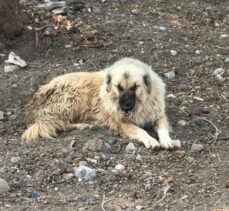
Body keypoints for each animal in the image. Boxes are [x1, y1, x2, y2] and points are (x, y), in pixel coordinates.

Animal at [22, 57, 181, 149]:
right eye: (118, 87)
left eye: (135, 87)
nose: (125, 107)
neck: (140, 105)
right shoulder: (122, 123)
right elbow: (140, 130)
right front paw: (150, 140)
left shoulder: (158, 114)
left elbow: (163, 128)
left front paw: (167, 140)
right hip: (72, 98)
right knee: (61, 124)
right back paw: (84, 125)